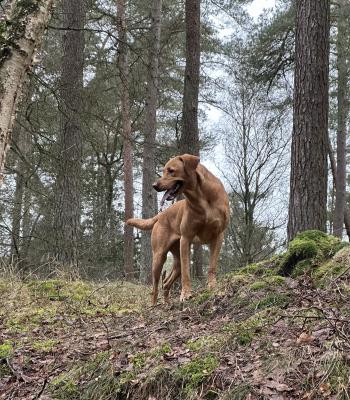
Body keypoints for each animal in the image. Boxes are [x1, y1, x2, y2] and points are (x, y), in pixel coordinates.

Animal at [126, 155, 230, 304]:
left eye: (171, 170)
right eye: (163, 170)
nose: (154, 186)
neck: (202, 196)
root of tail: (160, 215)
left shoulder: (218, 236)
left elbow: (212, 266)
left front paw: (212, 286)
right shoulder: (186, 239)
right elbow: (187, 272)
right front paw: (185, 294)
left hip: (176, 258)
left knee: (166, 283)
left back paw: (167, 303)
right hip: (159, 257)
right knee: (155, 287)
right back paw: (153, 305)